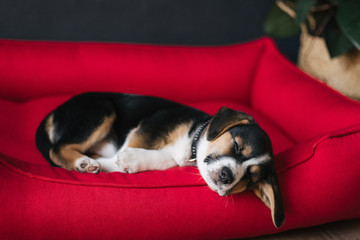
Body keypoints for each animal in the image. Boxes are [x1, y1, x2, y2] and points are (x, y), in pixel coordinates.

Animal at [35, 92, 284, 227]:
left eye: (250, 179)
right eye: (237, 146)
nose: (227, 176)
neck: (193, 141)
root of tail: (57, 110)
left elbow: (167, 159)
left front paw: (131, 160)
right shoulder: (151, 125)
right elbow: (129, 146)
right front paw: (124, 159)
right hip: (103, 109)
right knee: (56, 149)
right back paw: (84, 163)